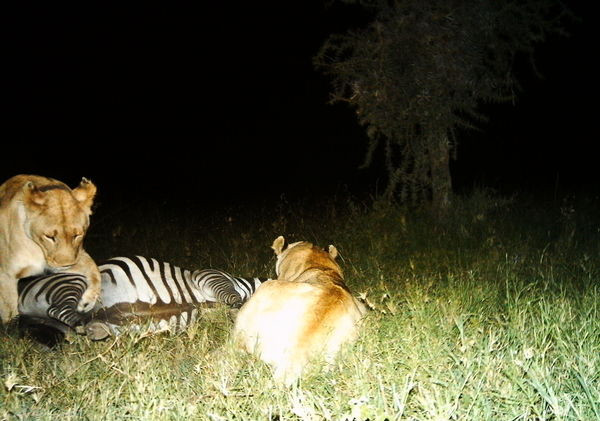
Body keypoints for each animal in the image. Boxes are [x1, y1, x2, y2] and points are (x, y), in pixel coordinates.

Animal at [0, 174, 101, 322]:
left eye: (77, 235)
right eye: (50, 236)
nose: (66, 265)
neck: (38, 248)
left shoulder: (76, 255)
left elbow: (94, 269)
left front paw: (87, 302)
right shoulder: (6, 275)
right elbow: (10, 312)